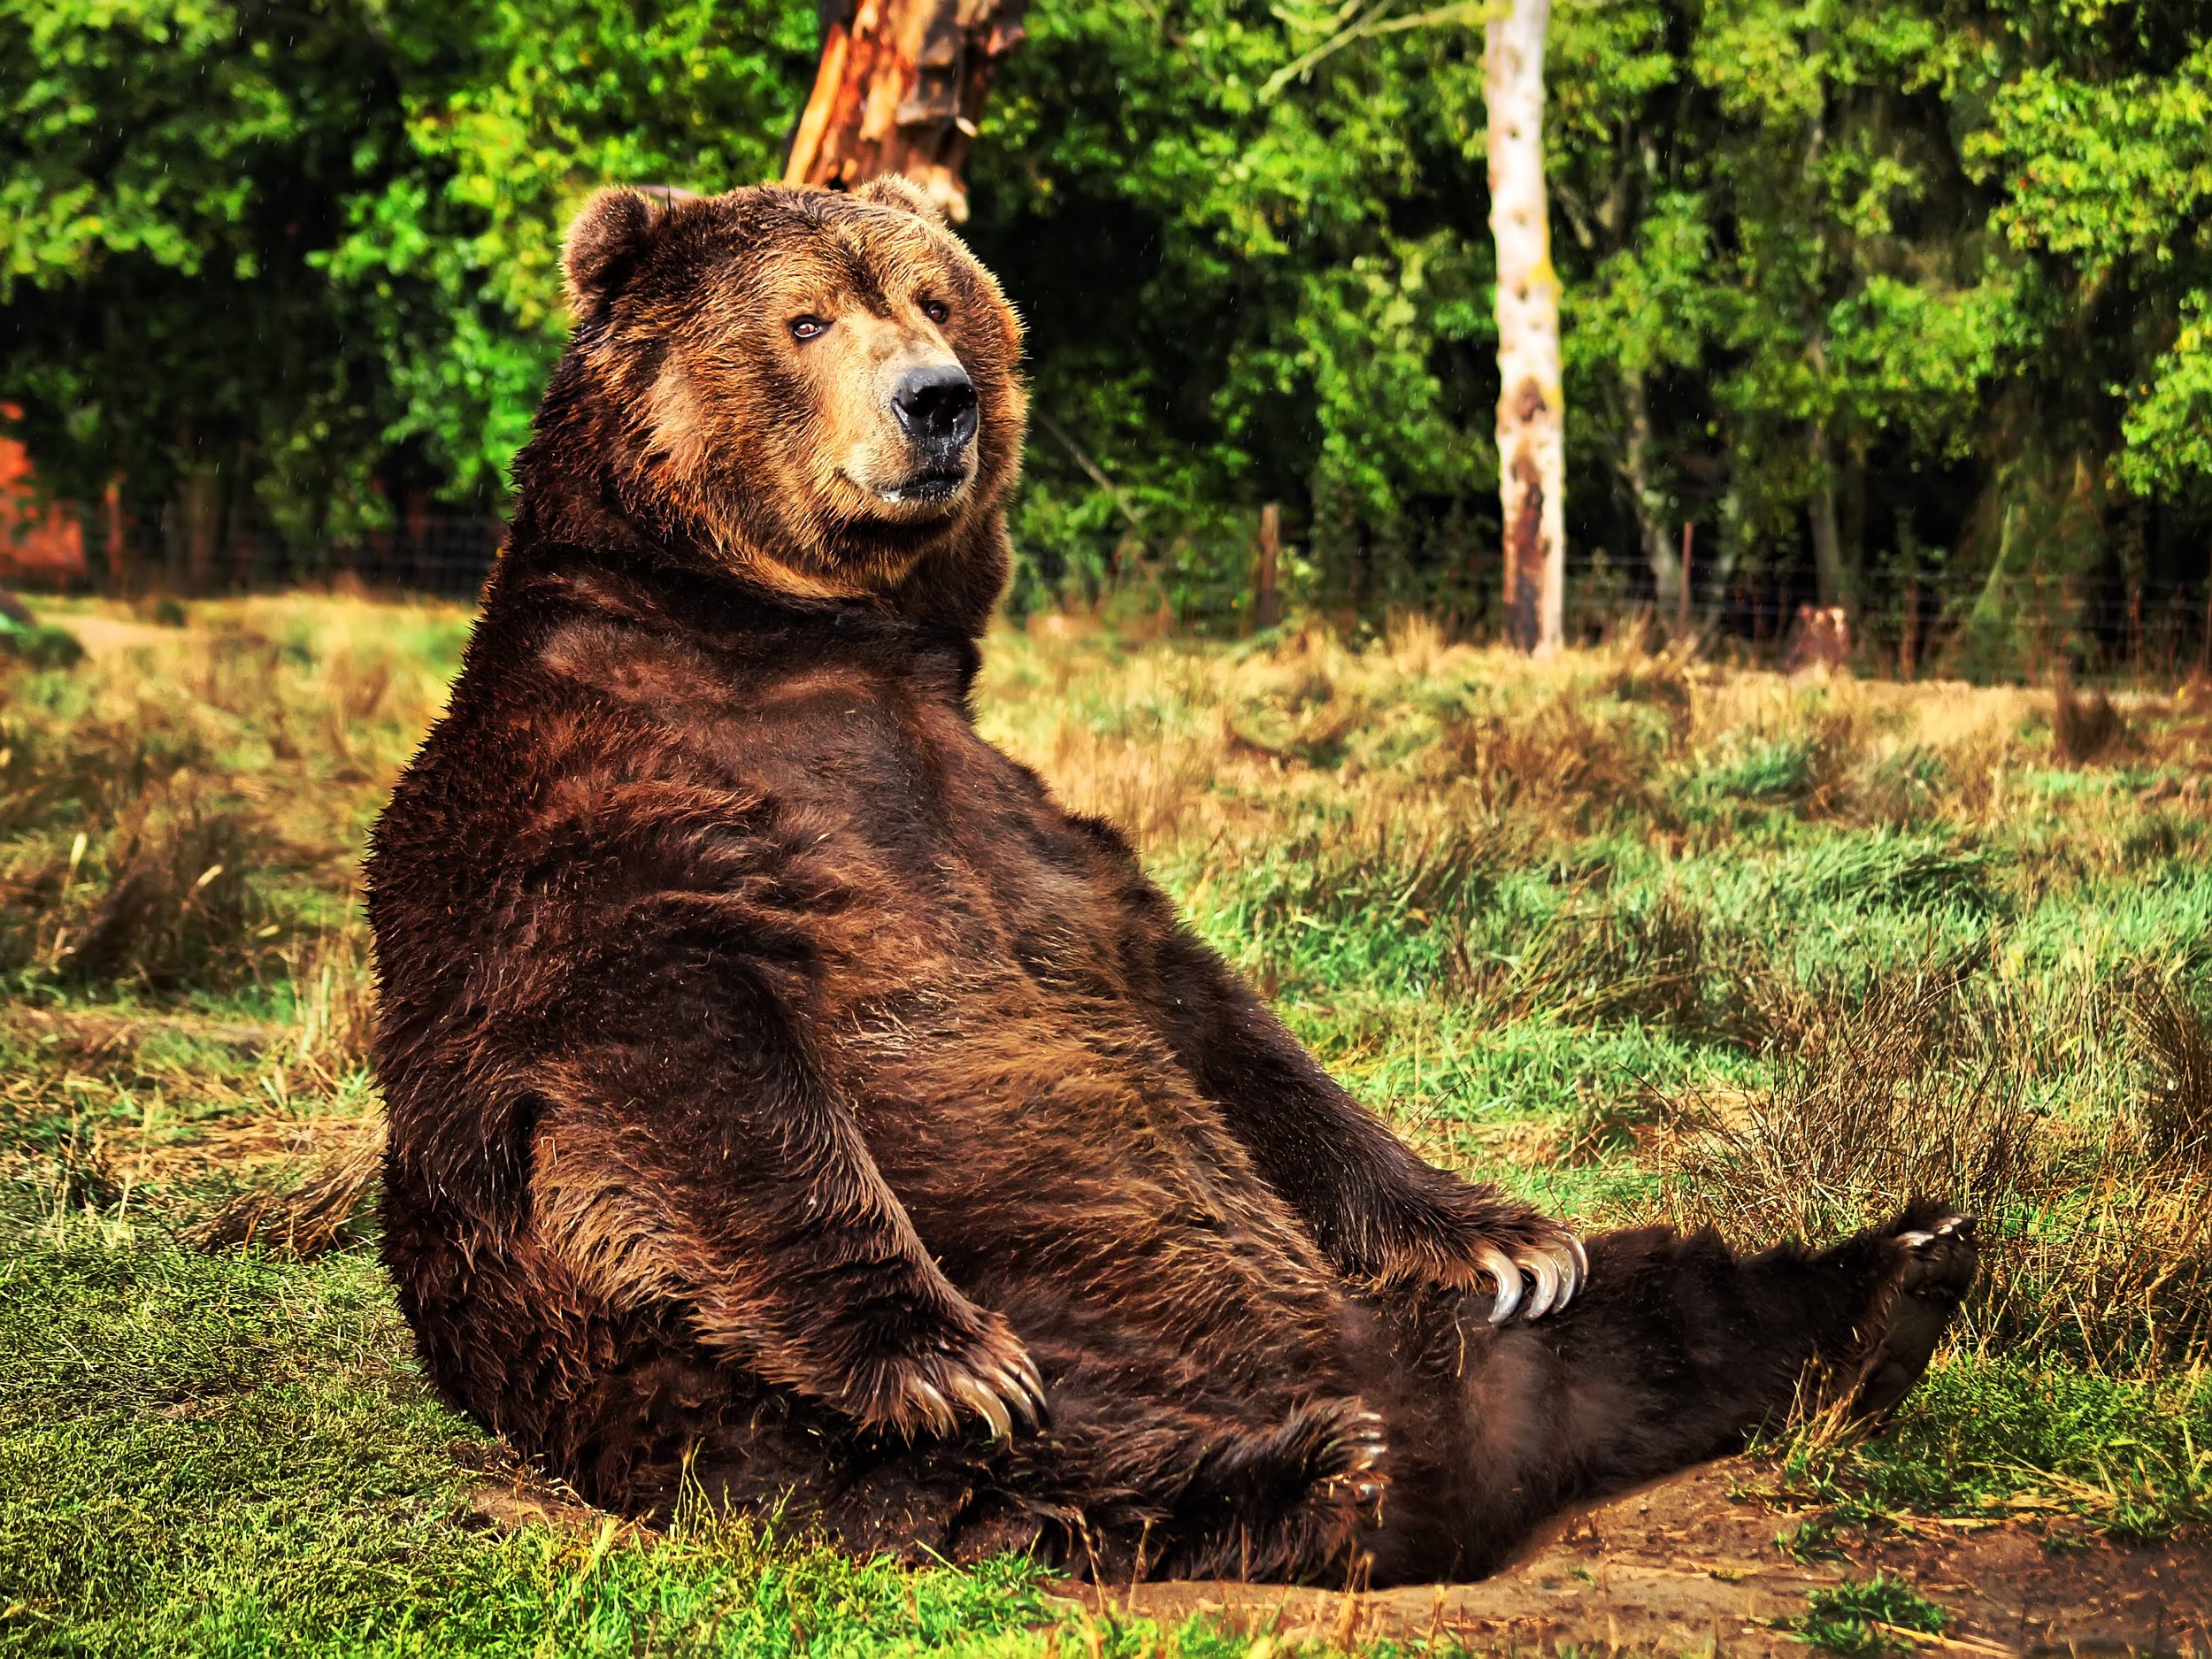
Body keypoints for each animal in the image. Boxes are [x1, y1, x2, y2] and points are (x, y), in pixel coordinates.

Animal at [365, 179, 1978, 1586]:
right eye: (808, 317)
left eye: (939, 298)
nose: (937, 399)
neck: (792, 631)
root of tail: (1459, 1428)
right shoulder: (596, 822)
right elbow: (681, 1047)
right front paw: (936, 1355)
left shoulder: (1018, 824)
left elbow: (1220, 1026)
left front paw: (1508, 1234)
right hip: (828, 1379)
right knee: (1019, 1466)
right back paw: (1314, 1472)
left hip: (1428, 1325)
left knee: (1653, 1298)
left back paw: (1890, 1278)